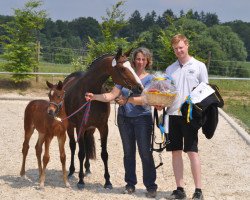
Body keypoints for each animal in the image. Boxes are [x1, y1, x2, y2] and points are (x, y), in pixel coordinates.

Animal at [63, 48, 144, 189]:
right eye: (122, 68)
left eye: (132, 66)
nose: (140, 87)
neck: (90, 92)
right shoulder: (80, 127)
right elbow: (80, 153)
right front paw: (80, 181)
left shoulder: (103, 127)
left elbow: (104, 154)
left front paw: (107, 181)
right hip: (71, 126)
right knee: (73, 146)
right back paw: (72, 171)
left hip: (90, 129)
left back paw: (87, 169)